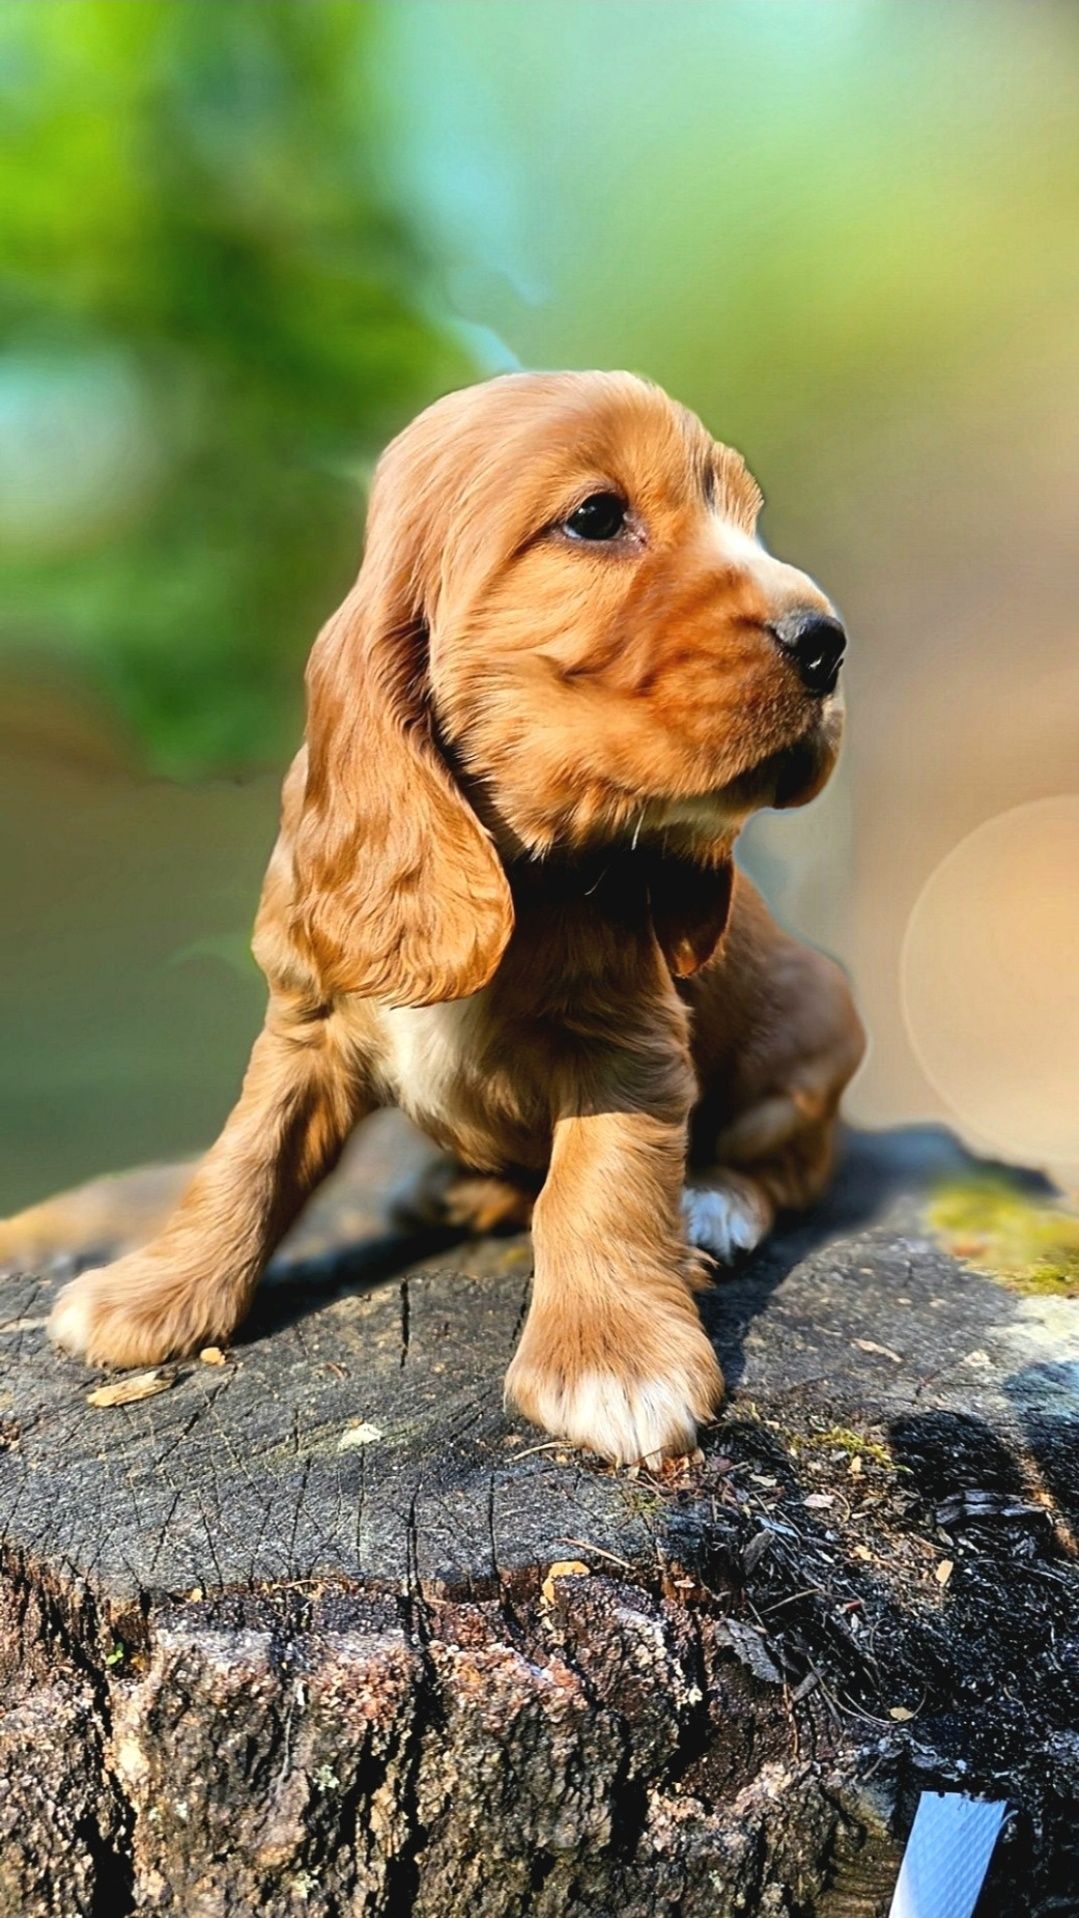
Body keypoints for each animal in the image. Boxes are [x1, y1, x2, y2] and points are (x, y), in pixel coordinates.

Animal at [35, 370, 870, 1450]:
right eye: (596, 517)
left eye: (746, 517)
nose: (827, 643)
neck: (519, 849)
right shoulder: (306, 1020)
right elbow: (245, 1155)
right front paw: (155, 1291)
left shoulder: (628, 1043)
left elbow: (598, 1187)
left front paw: (614, 1363)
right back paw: (449, 1188)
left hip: (816, 1034)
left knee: (794, 1164)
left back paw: (713, 1203)